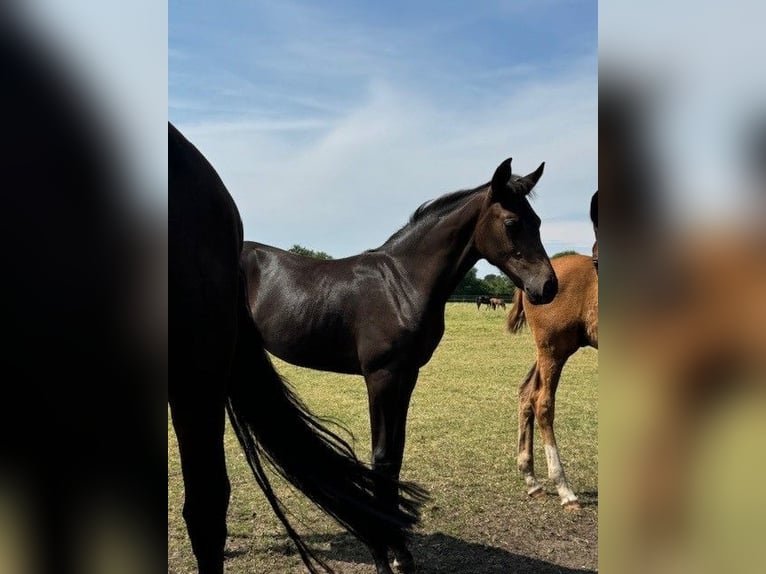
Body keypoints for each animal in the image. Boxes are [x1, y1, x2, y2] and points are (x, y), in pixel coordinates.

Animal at [242, 156, 560, 572]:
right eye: (511, 222)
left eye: (537, 221)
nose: (548, 287)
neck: (403, 283)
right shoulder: (380, 377)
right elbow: (380, 458)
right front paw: (382, 553)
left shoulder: (407, 376)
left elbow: (395, 455)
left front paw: (401, 554)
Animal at [510, 254, 600, 510]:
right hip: (554, 349)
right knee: (542, 403)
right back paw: (565, 490)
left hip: (546, 352)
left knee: (526, 392)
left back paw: (532, 480)